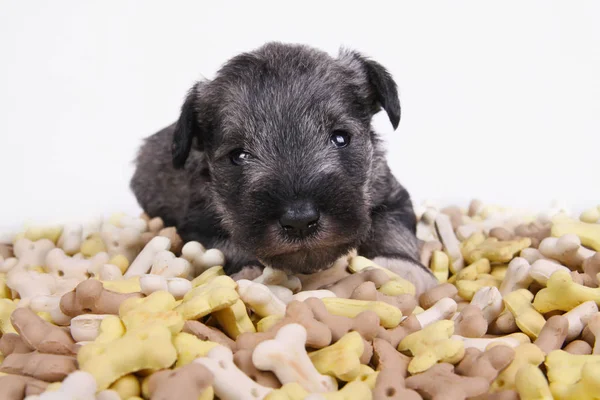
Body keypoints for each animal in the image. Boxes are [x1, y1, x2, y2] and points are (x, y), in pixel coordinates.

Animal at [130, 42, 436, 294]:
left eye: (340, 138)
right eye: (238, 155)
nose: (300, 221)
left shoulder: (391, 195)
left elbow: (390, 228)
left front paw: (402, 270)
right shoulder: (199, 223)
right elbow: (229, 243)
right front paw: (249, 272)